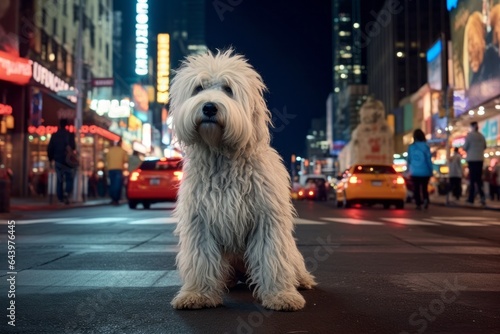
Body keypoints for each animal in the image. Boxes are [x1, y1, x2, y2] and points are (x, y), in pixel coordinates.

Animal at [168, 49, 316, 310]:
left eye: (228, 89)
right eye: (198, 88)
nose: (209, 107)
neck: (222, 157)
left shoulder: (267, 219)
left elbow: (272, 257)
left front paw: (280, 295)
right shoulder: (200, 221)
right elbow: (200, 259)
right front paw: (198, 294)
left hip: (291, 252)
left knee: (292, 264)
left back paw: (302, 281)